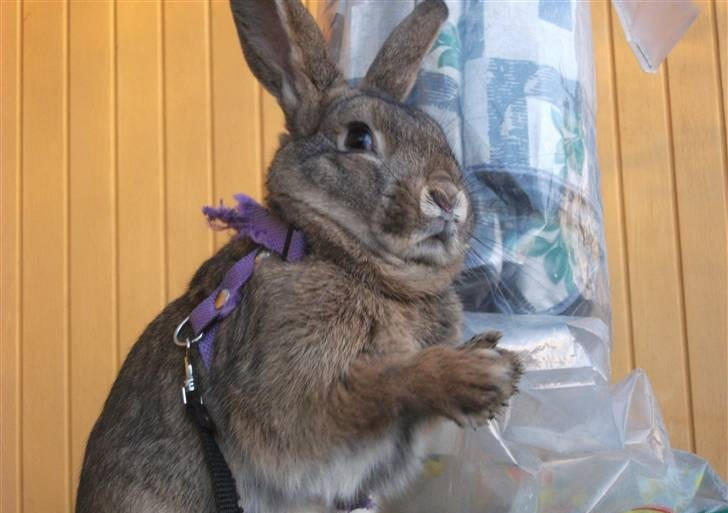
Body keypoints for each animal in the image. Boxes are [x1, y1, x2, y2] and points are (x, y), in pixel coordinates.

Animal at [75, 1, 522, 512]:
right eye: (358, 139)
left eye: (438, 137)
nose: (448, 199)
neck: (328, 249)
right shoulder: (295, 392)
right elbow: (382, 383)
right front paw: (482, 373)